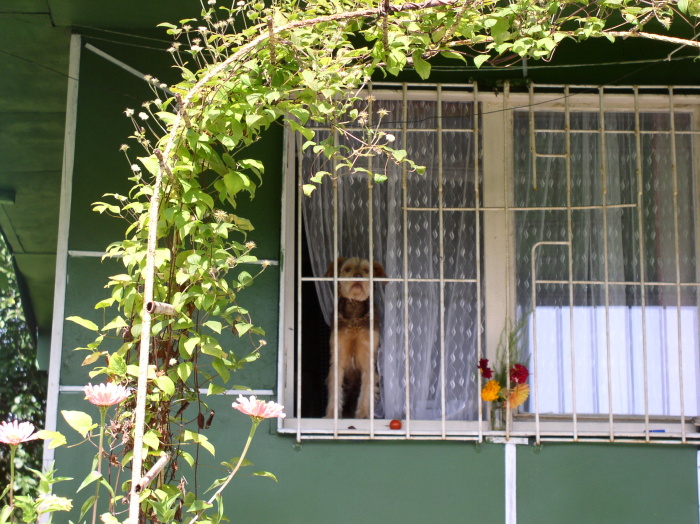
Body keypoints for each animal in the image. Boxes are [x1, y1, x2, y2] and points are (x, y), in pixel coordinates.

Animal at [325, 257, 386, 419]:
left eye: (366, 270)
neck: (354, 309)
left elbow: (367, 389)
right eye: (347, 269)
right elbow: (335, 389)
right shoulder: (338, 355)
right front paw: (331, 415)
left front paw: (363, 415)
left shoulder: (368, 356)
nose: (358, 276)